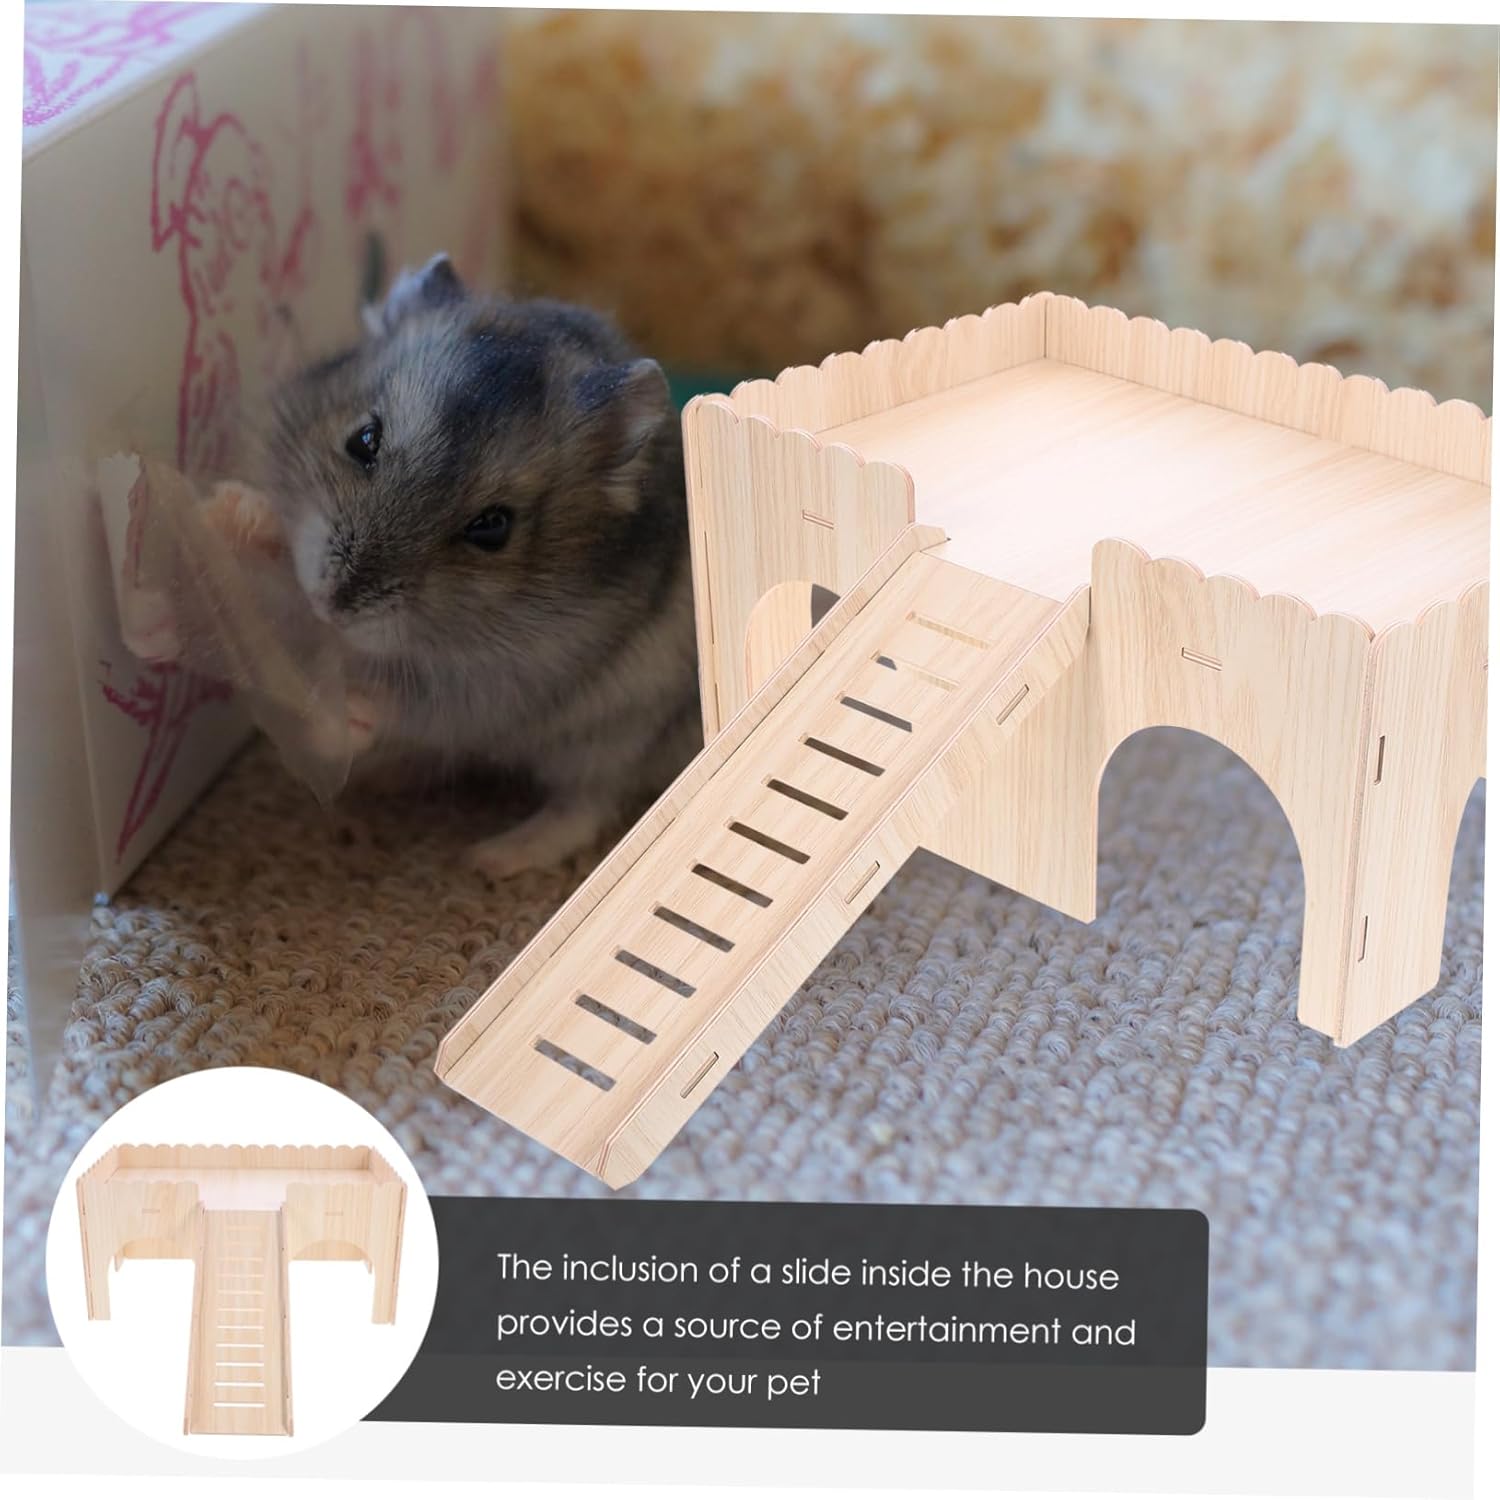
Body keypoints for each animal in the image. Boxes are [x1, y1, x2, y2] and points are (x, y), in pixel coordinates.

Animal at [259, 253, 701, 879]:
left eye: (493, 528)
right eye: (363, 439)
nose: (329, 606)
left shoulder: (507, 686)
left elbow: (415, 707)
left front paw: (343, 716)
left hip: (616, 733)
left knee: (584, 806)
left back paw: (492, 857)